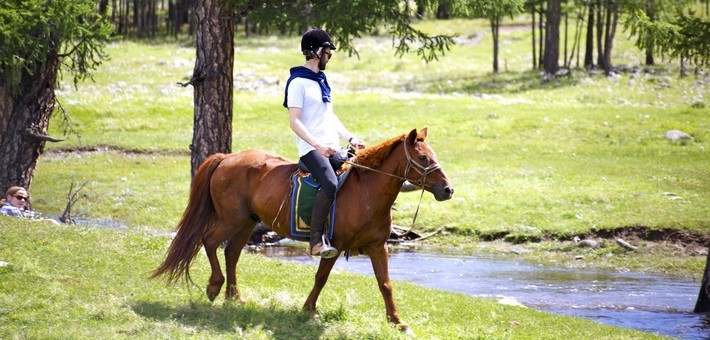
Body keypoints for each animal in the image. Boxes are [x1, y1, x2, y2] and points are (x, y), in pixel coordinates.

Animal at [153, 127, 458, 332]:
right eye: (422, 157)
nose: (448, 190)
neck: (366, 191)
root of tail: (226, 158)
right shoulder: (334, 245)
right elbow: (321, 278)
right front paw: (309, 311)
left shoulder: (377, 246)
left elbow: (385, 284)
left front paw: (397, 321)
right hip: (231, 219)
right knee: (209, 241)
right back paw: (215, 287)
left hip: (247, 221)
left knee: (232, 253)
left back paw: (234, 297)